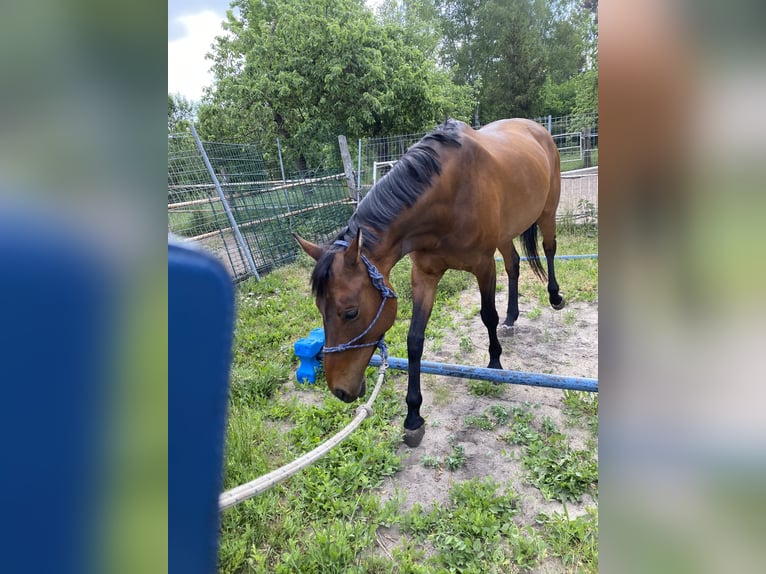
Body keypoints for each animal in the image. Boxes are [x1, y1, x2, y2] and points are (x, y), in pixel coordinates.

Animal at [296, 118, 568, 450]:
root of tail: (536, 129)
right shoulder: (424, 275)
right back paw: (512, 316)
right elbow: (415, 340)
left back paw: (554, 296)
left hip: (548, 212)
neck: (447, 197)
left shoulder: (483, 266)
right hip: (506, 233)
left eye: (350, 313)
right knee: (514, 264)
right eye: (320, 309)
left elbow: (487, 315)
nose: (339, 390)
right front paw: (413, 417)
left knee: (549, 248)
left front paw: (494, 363)